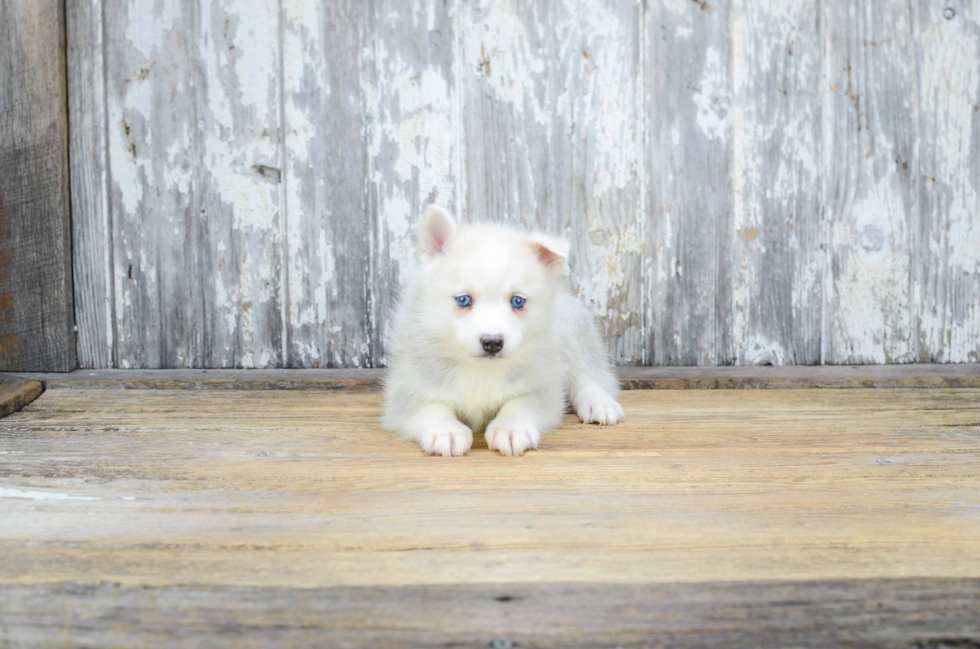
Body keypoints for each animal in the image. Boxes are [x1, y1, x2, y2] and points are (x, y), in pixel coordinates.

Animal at [378, 204, 624, 456]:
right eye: (463, 299)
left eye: (517, 301)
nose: (493, 342)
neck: (480, 371)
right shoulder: (405, 388)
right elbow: (430, 407)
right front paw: (445, 431)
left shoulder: (543, 387)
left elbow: (521, 403)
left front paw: (512, 428)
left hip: (573, 327)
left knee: (590, 375)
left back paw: (598, 404)